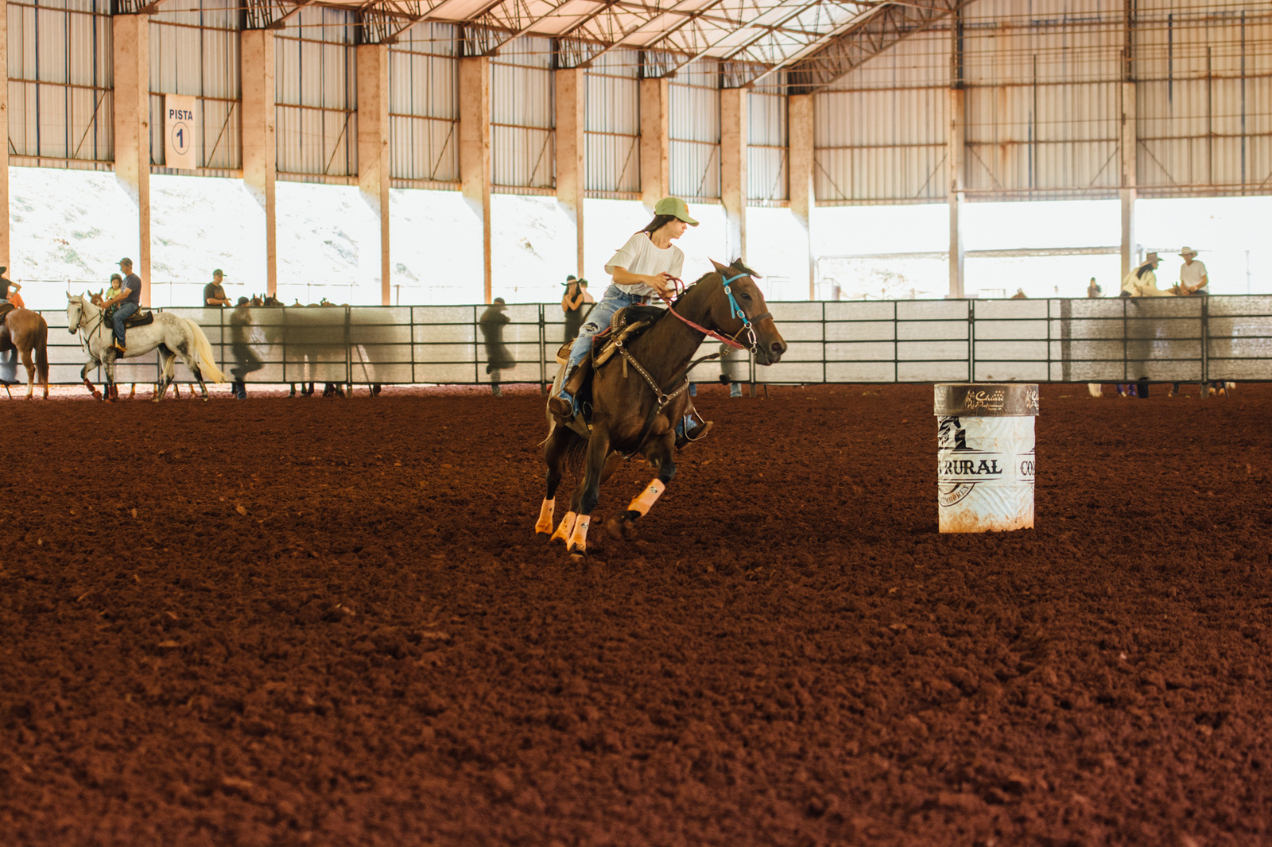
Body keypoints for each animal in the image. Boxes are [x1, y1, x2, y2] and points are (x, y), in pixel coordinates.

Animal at [65, 292, 226, 401]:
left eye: (78, 309)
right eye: (67, 310)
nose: (71, 329)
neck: (96, 325)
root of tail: (183, 320)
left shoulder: (106, 357)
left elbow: (109, 378)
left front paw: (111, 398)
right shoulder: (96, 359)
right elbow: (83, 373)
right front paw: (96, 393)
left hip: (183, 350)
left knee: (195, 370)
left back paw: (204, 395)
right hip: (165, 351)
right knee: (168, 375)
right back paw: (158, 398)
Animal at [534, 256, 783, 554]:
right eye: (745, 295)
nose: (778, 347)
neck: (656, 364)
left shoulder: (658, 439)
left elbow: (666, 473)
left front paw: (624, 518)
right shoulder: (601, 436)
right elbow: (591, 495)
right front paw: (578, 545)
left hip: (611, 457)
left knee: (576, 490)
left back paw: (562, 532)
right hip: (561, 433)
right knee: (554, 476)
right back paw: (546, 527)